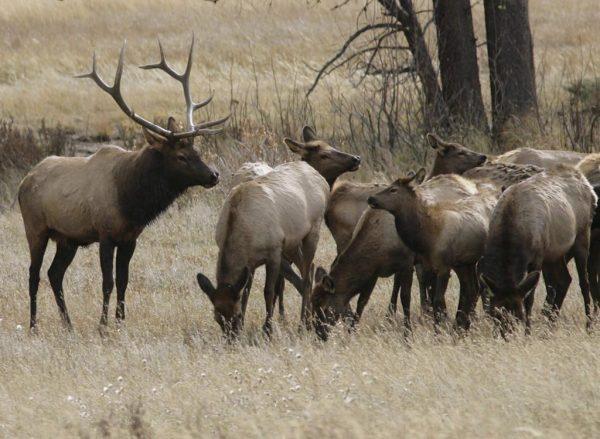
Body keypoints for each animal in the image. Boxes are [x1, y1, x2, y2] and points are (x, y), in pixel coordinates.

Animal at [18, 37, 227, 330]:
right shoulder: (105, 233)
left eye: (196, 150)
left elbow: (124, 281)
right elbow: (108, 281)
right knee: (33, 274)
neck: (132, 202)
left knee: (54, 273)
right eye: (181, 156)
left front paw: (120, 322)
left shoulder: (130, 237)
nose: (213, 175)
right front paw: (103, 326)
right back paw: (34, 325)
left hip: (68, 238)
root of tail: (24, 181)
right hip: (36, 227)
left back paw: (68, 324)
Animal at [196, 127, 360, 336]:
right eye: (218, 319)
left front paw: (268, 329)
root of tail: (316, 175)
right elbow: (246, 291)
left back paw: (303, 323)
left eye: (236, 316)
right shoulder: (251, 263)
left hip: (312, 231)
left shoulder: (274, 251)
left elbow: (269, 290)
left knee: (307, 276)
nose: (232, 338)